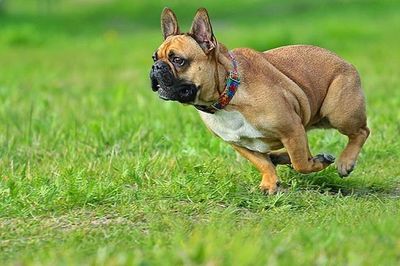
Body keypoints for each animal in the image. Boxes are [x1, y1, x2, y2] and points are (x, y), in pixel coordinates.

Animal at [149, 6, 368, 193]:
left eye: (178, 60)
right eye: (154, 58)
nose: (156, 67)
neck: (228, 96)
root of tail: (343, 61)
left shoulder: (291, 129)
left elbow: (302, 164)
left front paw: (317, 163)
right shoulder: (239, 143)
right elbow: (262, 163)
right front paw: (270, 182)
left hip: (338, 114)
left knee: (361, 132)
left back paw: (345, 162)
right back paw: (280, 157)